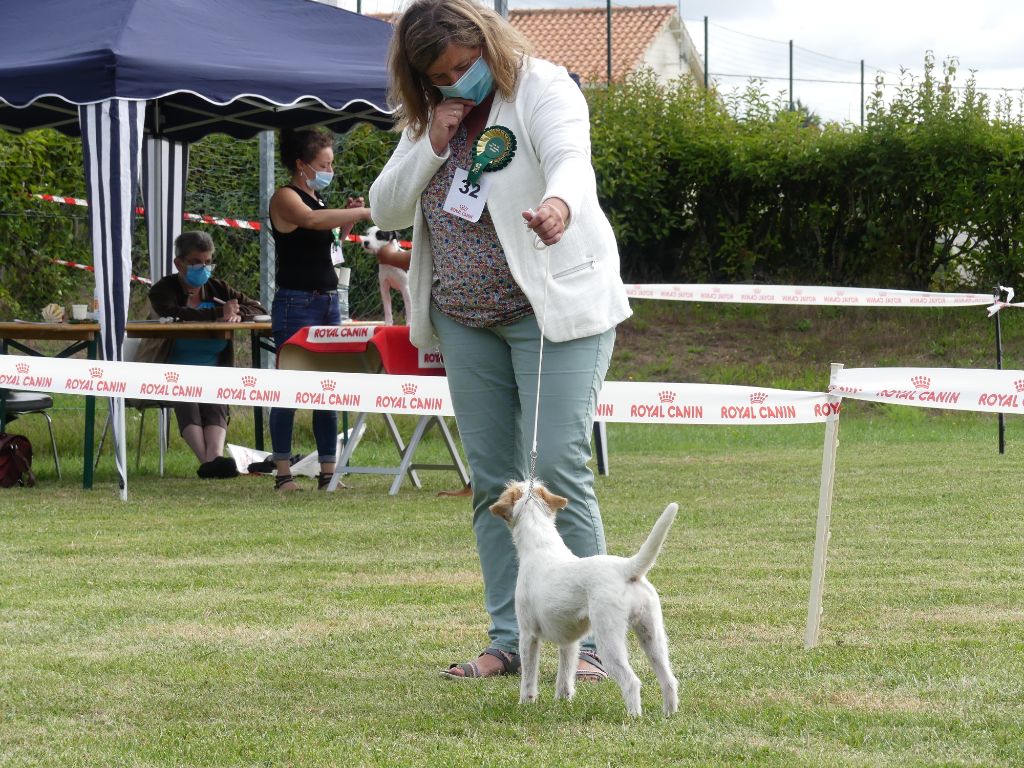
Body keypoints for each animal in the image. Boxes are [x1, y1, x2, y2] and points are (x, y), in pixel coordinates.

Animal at [489, 481, 679, 720]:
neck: (540, 545)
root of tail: (627, 569)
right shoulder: (569, 642)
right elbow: (565, 675)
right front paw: (563, 701)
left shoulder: (528, 635)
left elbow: (529, 676)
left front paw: (526, 703)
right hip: (652, 636)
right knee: (669, 679)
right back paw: (669, 715)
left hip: (609, 640)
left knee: (632, 681)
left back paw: (633, 717)